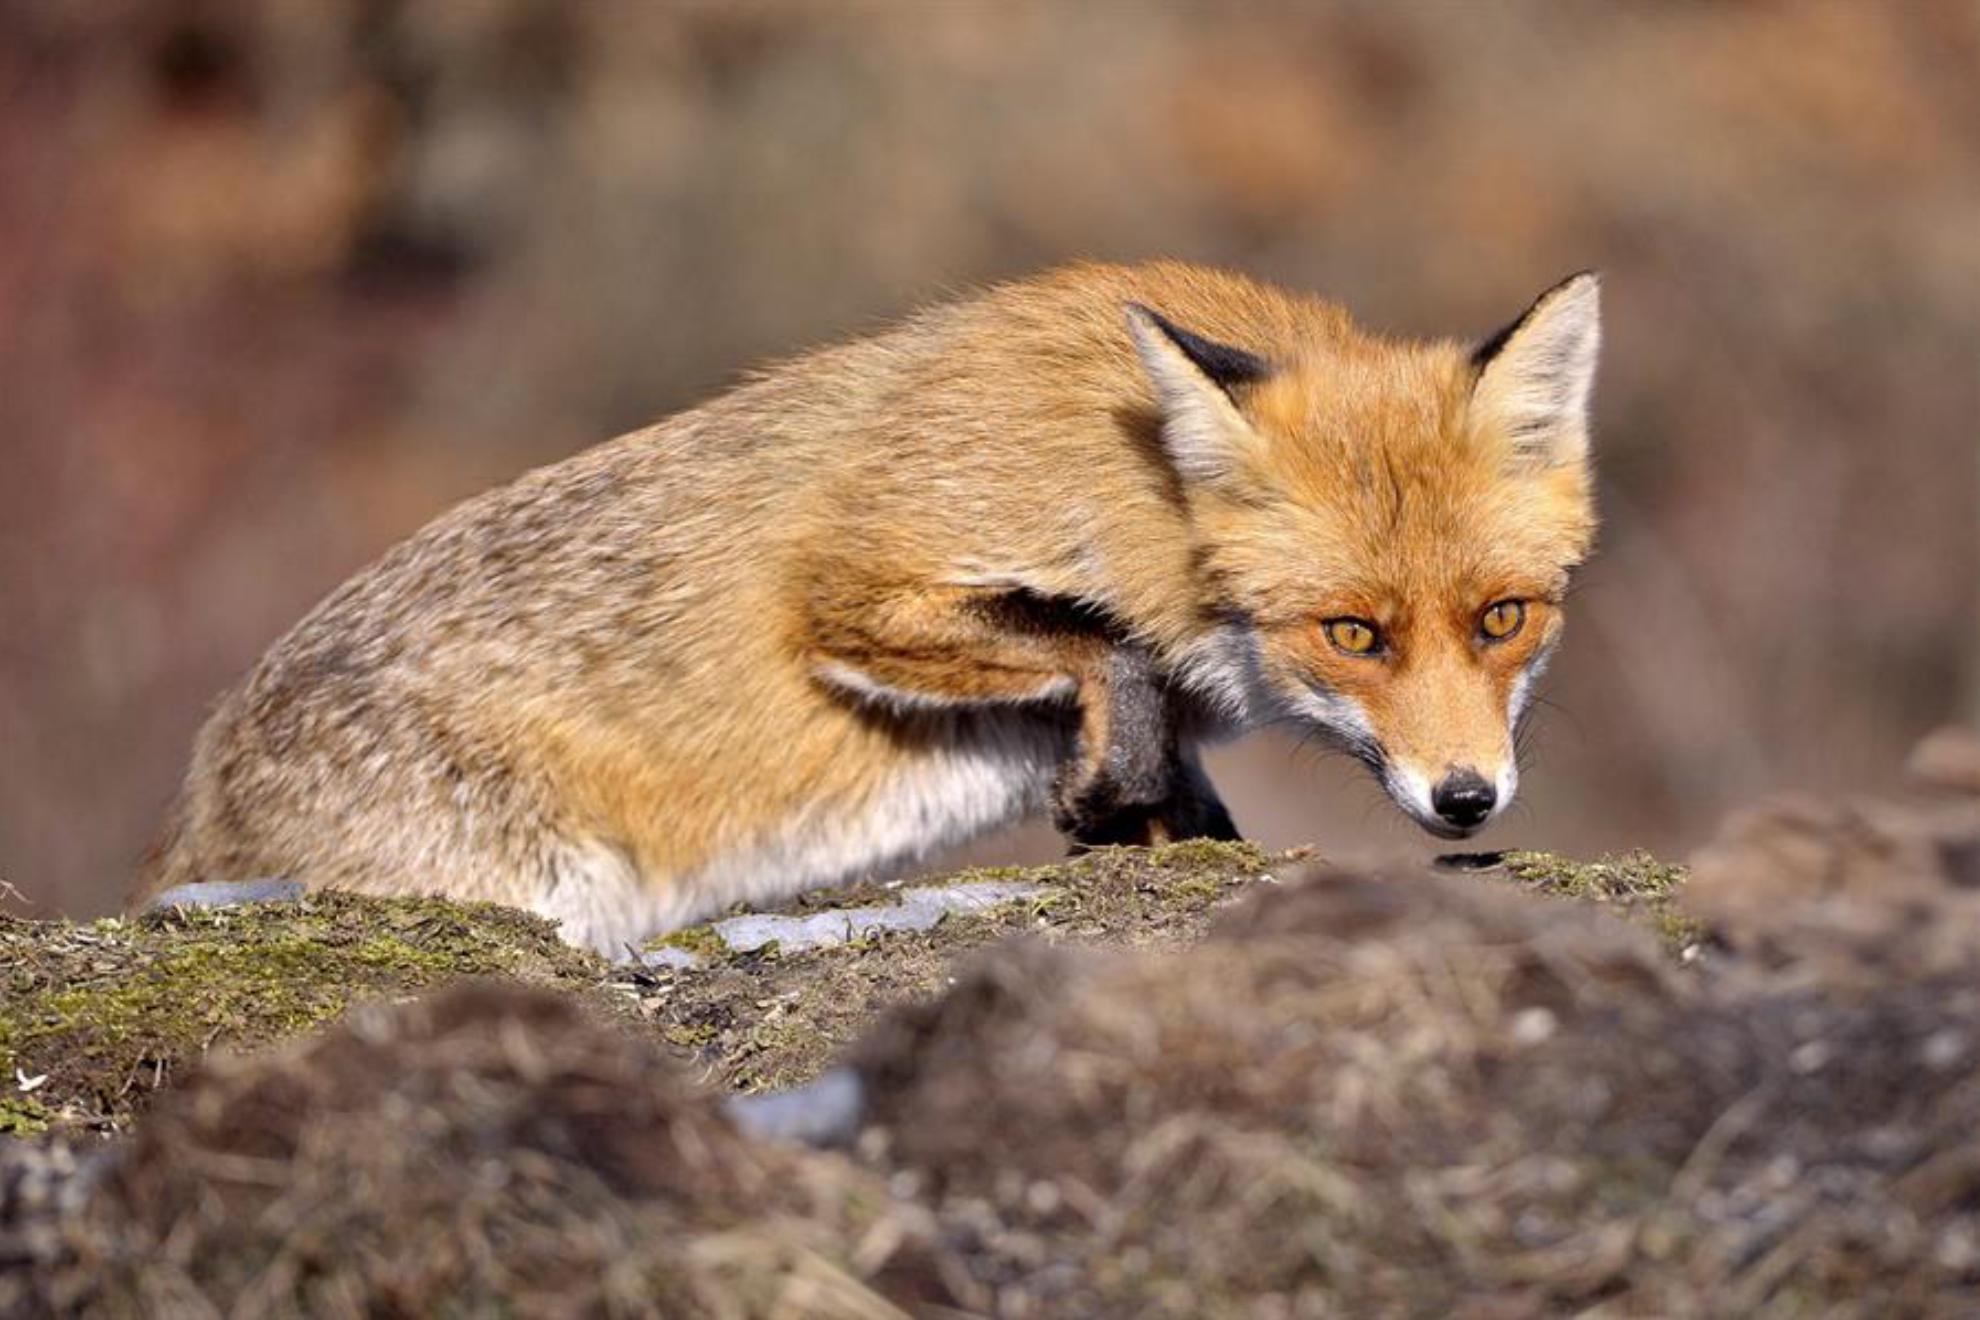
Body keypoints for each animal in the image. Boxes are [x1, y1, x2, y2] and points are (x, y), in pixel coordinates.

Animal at [135, 261, 1600, 955]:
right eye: (1352, 635)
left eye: (1502, 619)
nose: (1467, 799)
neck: (1119, 468)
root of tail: (199, 778)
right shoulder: (847, 594)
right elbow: (1103, 643)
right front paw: (1106, 783)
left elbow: (1167, 756)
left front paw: (1149, 819)